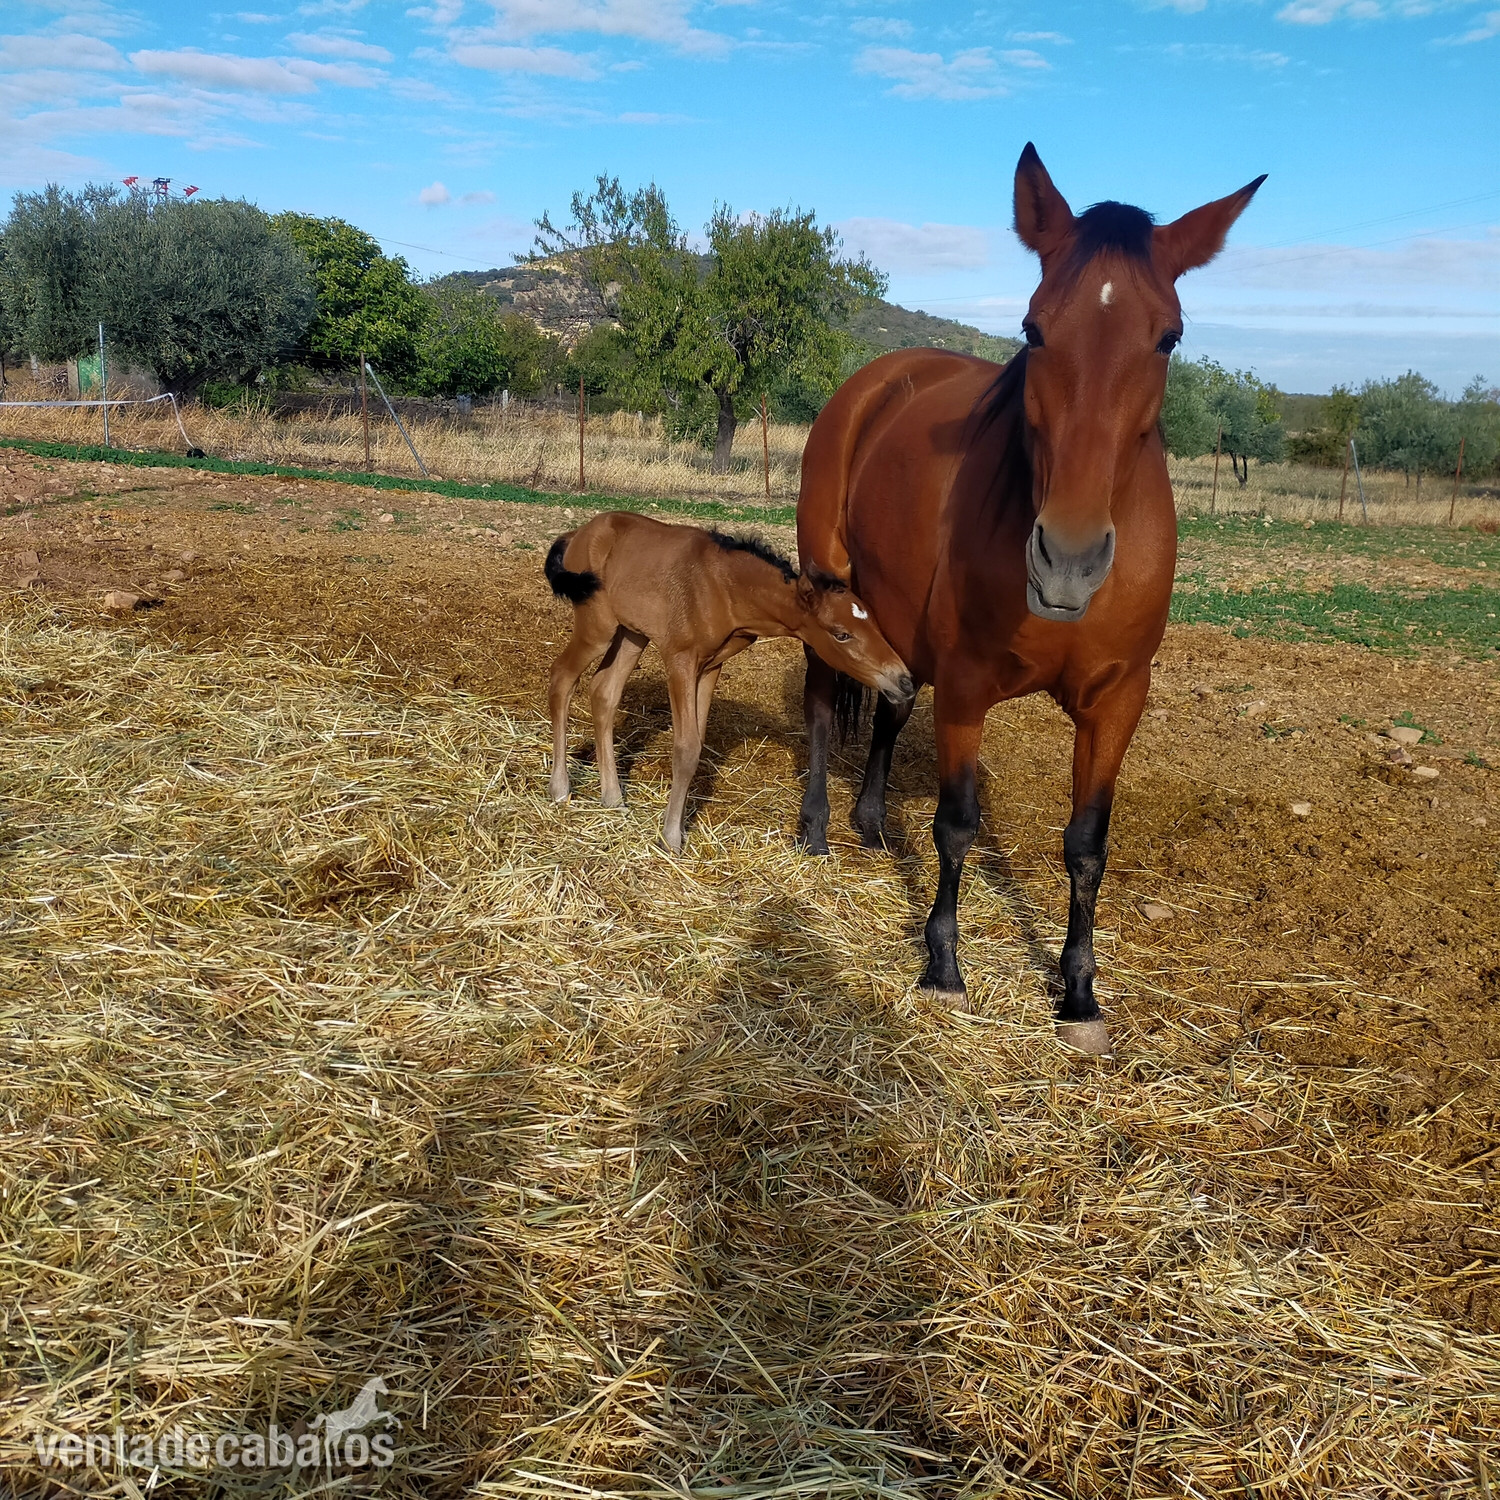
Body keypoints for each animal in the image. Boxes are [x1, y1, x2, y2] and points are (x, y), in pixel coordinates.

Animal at [546, 512, 913, 852]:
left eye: (875, 625)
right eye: (841, 634)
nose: (904, 681)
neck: (722, 586)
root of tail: (578, 533)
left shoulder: (711, 666)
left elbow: (697, 745)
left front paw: (677, 828)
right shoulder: (680, 659)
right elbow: (686, 748)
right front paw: (670, 838)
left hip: (632, 633)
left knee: (603, 692)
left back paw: (612, 797)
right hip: (597, 627)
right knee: (562, 678)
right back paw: (561, 788)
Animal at [795, 143, 1265, 1055]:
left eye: (1169, 336)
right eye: (1033, 328)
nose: (1068, 562)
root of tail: (877, 379)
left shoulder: (1117, 701)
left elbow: (1087, 846)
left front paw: (1079, 992)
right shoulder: (968, 686)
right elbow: (956, 824)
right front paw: (943, 967)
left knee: (892, 700)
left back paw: (869, 823)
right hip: (829, 590)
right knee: (823, 703)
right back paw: (816, 830)